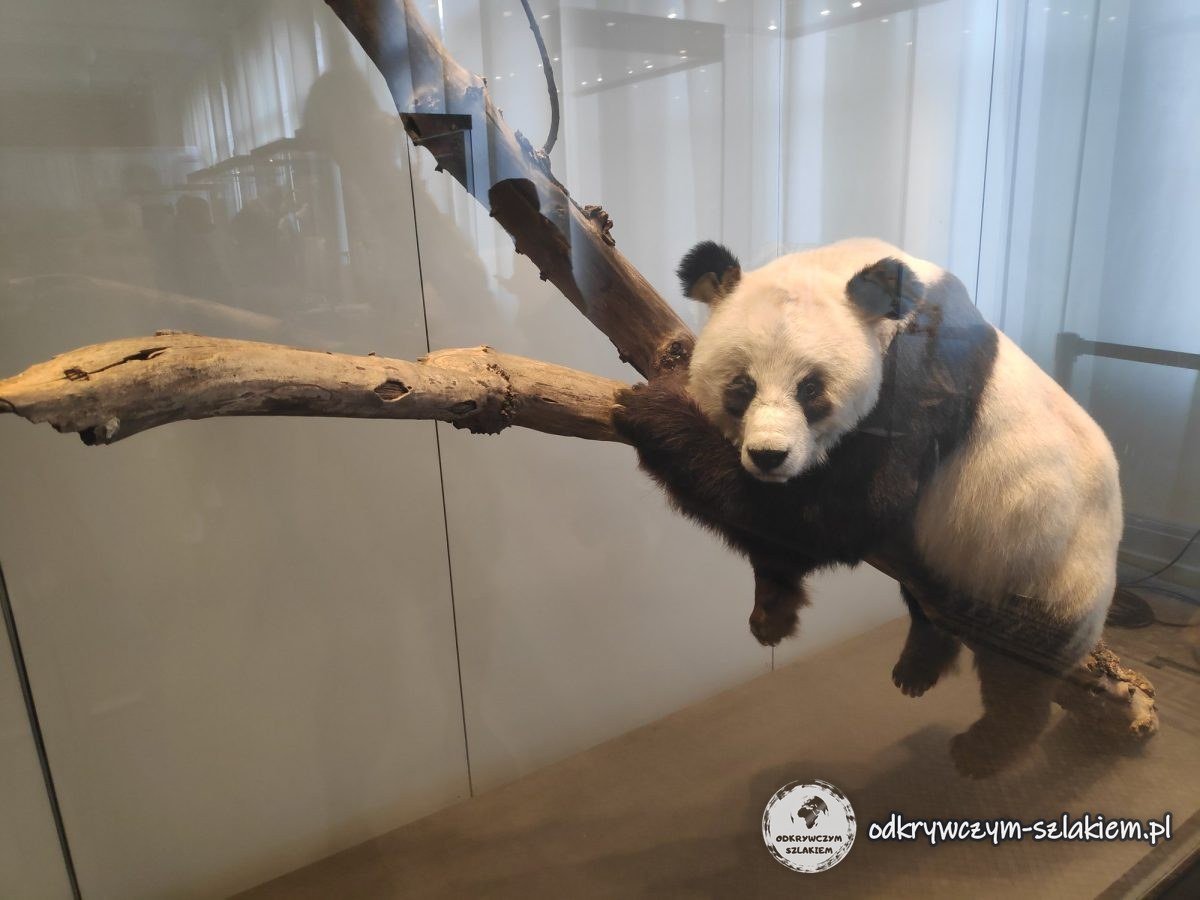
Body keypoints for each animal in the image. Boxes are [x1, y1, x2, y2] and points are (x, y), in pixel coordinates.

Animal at [612, 237, 1122, 777]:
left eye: (810, 389)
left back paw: (986, 746)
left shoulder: (925, 373)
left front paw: (656, 413)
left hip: (1042, 555)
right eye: (741, 387)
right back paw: (921, 660)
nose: (770, 456)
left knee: (1022, 660)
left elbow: (846, 513)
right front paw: (771, 610)